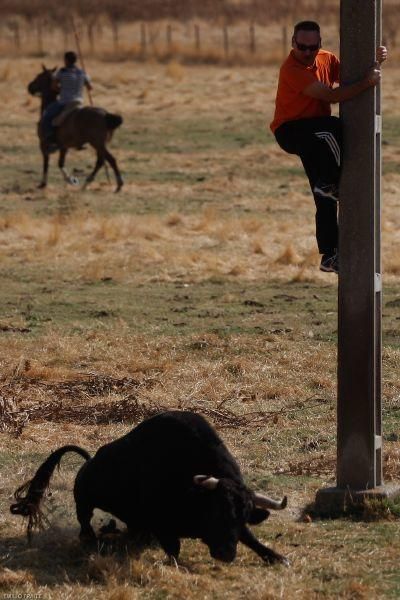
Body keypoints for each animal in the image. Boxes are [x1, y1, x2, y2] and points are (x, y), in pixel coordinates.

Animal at [10, 410, 290, 564]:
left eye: (241, 516)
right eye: (214, 512)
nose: (226, 554)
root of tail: (89, 462)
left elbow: (250, 537)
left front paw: (275, 556)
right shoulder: (160, 522)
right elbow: (173, 549)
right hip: (85, 502)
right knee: (84, 522)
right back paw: (92, 539)